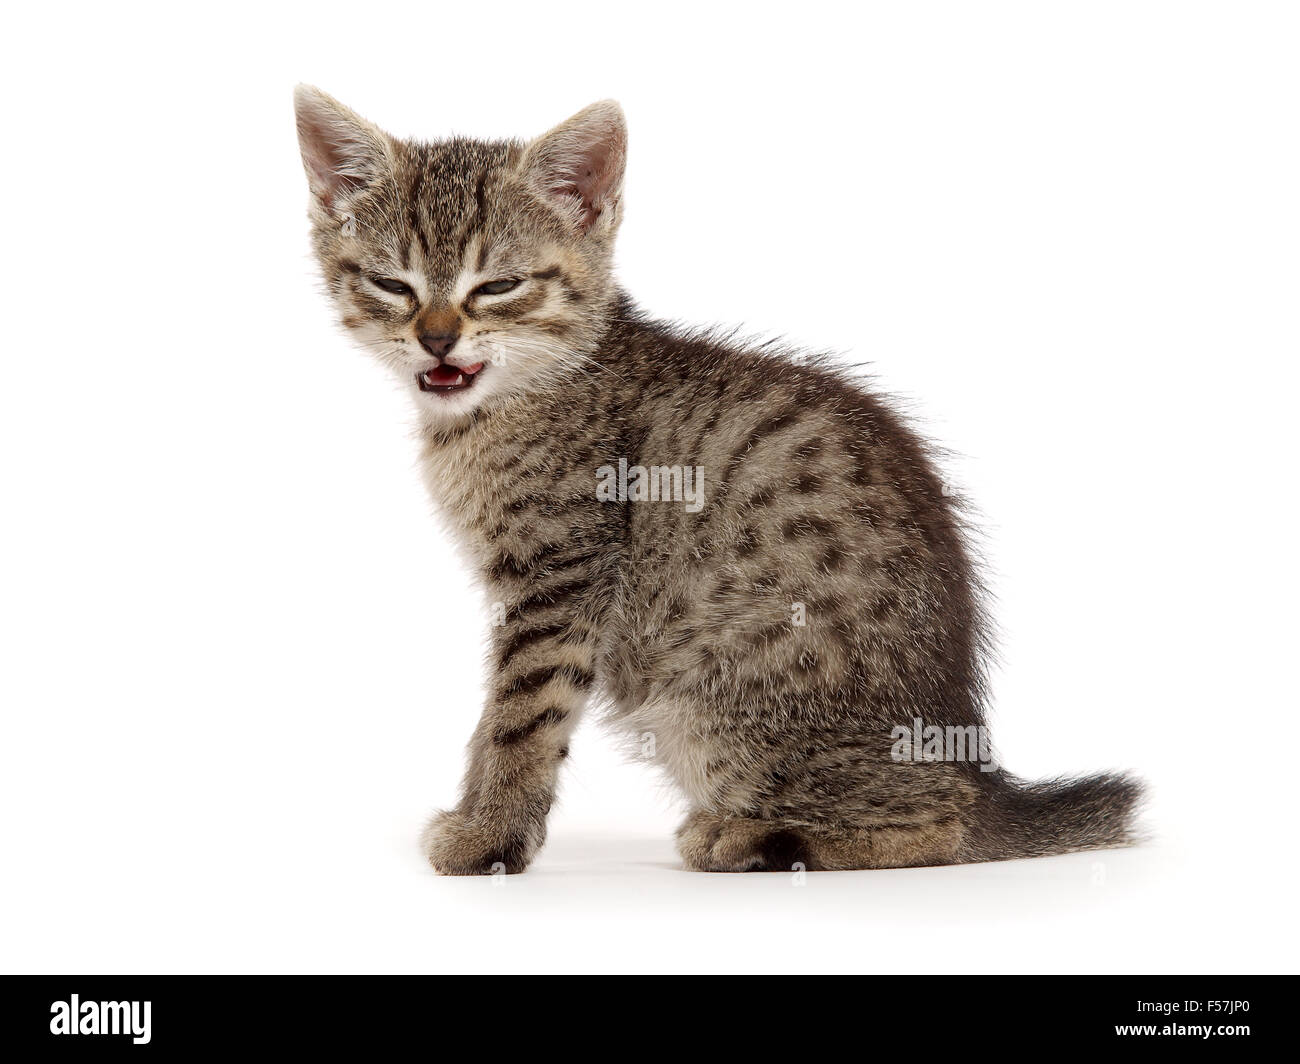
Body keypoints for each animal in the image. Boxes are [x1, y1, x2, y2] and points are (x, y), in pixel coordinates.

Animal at [292, 87, 1138, 868]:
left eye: (497, 285)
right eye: (392, 284)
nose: (437, 340)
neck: (516, 398)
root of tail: (973, 756)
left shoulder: (562, 573)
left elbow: (523, 712)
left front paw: (487, 835)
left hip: (708, 708)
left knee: (941, 822)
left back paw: (754, 837)